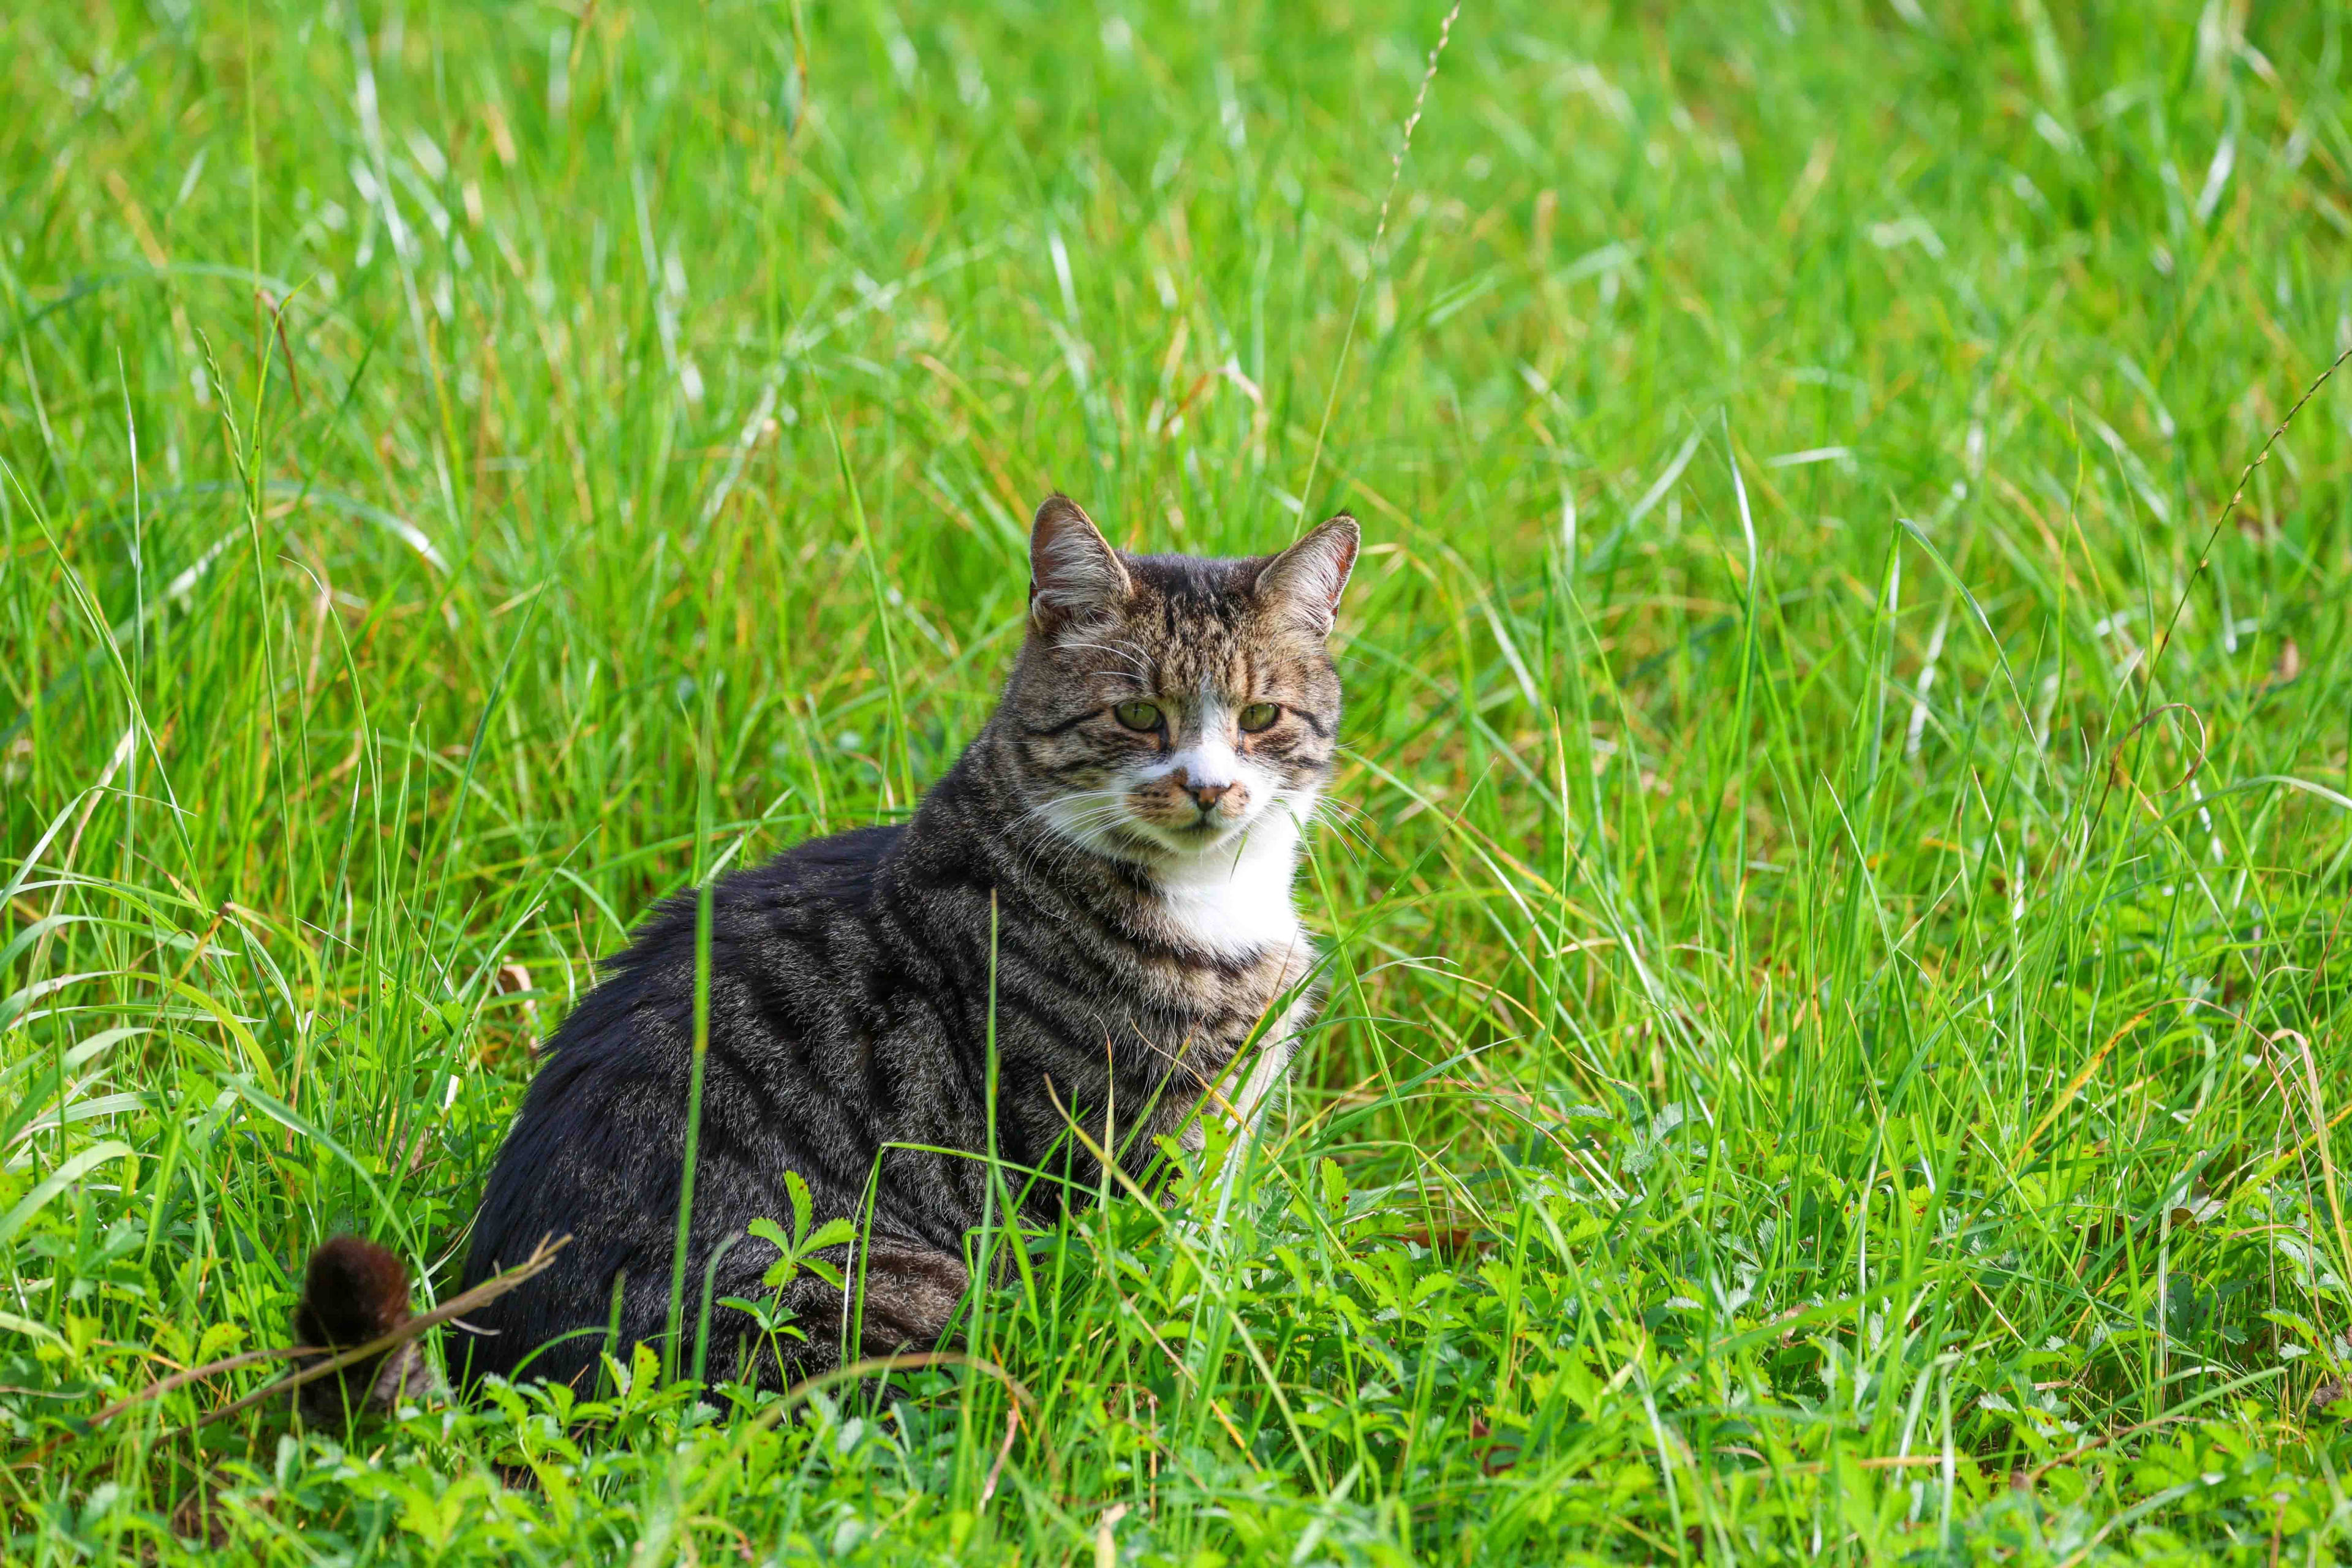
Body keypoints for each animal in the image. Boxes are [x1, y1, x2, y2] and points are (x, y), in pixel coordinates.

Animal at [296, 496, 1364, 1401]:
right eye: (1139, 715)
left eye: (1260, 718)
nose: (1210, 790)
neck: (1213, 902)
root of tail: (501, 1363)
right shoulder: (1123, 1148)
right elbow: (1158, 1281)